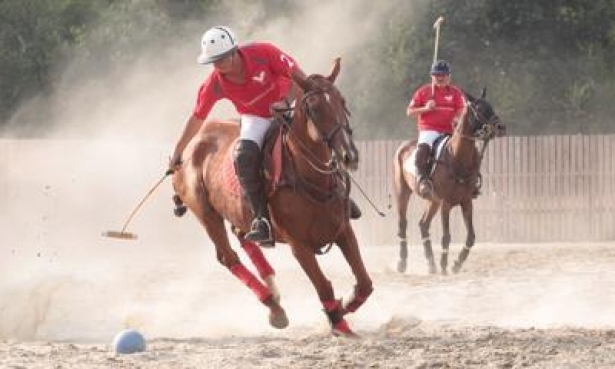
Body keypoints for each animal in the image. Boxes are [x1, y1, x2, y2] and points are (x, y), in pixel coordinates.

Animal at [171, 58, 372, 336]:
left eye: (342, 101)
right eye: (314, 108)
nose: (349, 155)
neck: (312, 180)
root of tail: (190, 145)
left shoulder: (343, 230)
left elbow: (365, 282)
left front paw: (344, 307)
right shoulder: (299, 245)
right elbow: (323, 286)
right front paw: (338, 322)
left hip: (238, 212)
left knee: (244, 238)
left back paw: (273, 290)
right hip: (206, 214)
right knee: (228, 256)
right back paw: (273, 305)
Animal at [394, 88, 506, 274]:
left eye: (491, 105)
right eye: (479, 108)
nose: (501, 127)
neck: (458, 157)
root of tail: (402, 146)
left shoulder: (466, 201)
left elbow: (471, 237)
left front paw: (456, 263)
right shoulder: (446, 203)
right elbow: (446, 236)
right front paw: (445, 265)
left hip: (432, 201)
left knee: (423, 224)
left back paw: (431, 264)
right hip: (402, 192)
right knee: (403, 223)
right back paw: (402, 262)